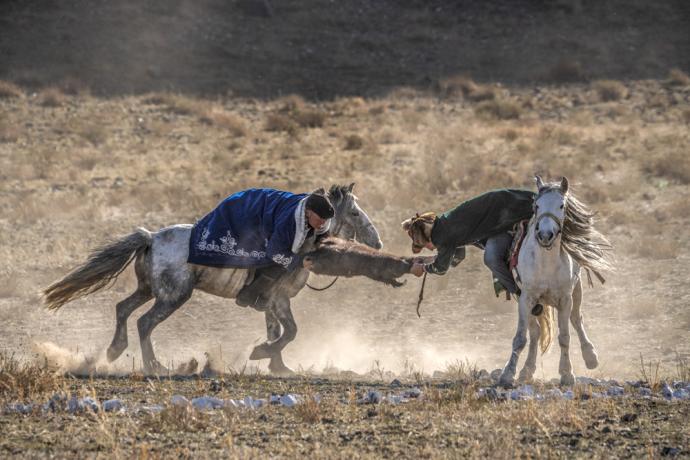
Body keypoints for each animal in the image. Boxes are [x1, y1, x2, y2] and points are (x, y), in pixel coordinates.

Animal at [44, 183, 382, 374]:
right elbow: (290, 332)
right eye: (354, 213)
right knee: (144, 322)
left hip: (148, 289)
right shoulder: (279, 299)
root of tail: (151, 236)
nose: (377, 242)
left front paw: (278, 366)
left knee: (123, 309)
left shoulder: (273, 303)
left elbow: (276, 332)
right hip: (174, 296)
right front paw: (264, 354)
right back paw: (157, 366)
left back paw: (115, 350)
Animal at [498, 176, 612, 388]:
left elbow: (565, 336)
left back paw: (590, 356)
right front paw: (508, 374)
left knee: (576, 319)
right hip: (529, 302)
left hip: (577, 291)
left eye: (561, 205)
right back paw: (526, 370)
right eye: (536, 206)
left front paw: (567, 374)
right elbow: (520, 338)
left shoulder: (565, 299)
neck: (546, 264)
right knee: (535, 332)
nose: (545, 235)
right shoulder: (525, 298)